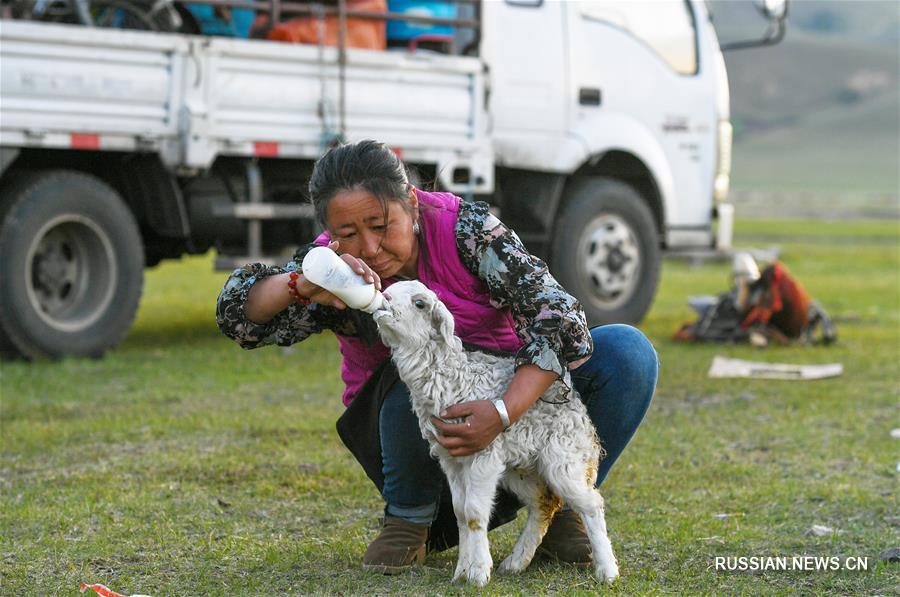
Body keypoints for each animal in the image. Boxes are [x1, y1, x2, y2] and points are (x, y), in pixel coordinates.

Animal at [372, 282, 620, 584]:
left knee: (591, 503)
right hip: (520, 467)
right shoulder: (452, 459)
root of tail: (573, 400)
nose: (383, 299)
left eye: (419, 304)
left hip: (563, 457)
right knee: (543, 503)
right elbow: (461, 512)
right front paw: (462, 572)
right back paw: (515, 562)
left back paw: (607, 571)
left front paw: (478, 573)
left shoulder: (482, 454)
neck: (455, 379)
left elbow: (474, 512)